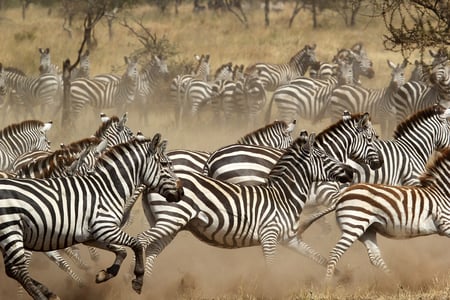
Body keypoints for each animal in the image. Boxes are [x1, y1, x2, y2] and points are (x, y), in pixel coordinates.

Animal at [0, 134, 185, 300]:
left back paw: (48, 292)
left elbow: (122, 251)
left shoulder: (92, 236)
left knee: (12, 270)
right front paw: (138, 280)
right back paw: (42, 295)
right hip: (11, 231)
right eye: (165, 164)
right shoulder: (105, 228)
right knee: (18, 269)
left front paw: (104, 274)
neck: (107, 189)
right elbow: (137, 244)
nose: (181, 192)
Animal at [138, 132, 356, 278]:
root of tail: (150, 183)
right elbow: (271, 268)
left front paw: (343, 279)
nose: (351, 172)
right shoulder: (269, 236)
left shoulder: (290, 239)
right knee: (141, 240)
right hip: (170, 219)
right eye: (324, 156)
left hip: (170, 224)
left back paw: (146, 284)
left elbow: (318, 257)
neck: (284, 196)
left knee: (152, 249)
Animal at [326, 146, 450, 280]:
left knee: (375, 257)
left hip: (367, 229)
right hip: (354, 225)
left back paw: (393, 281)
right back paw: (327, 283)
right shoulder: (446, 224)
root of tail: (342, 195)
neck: (442, 193)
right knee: (335, 252)